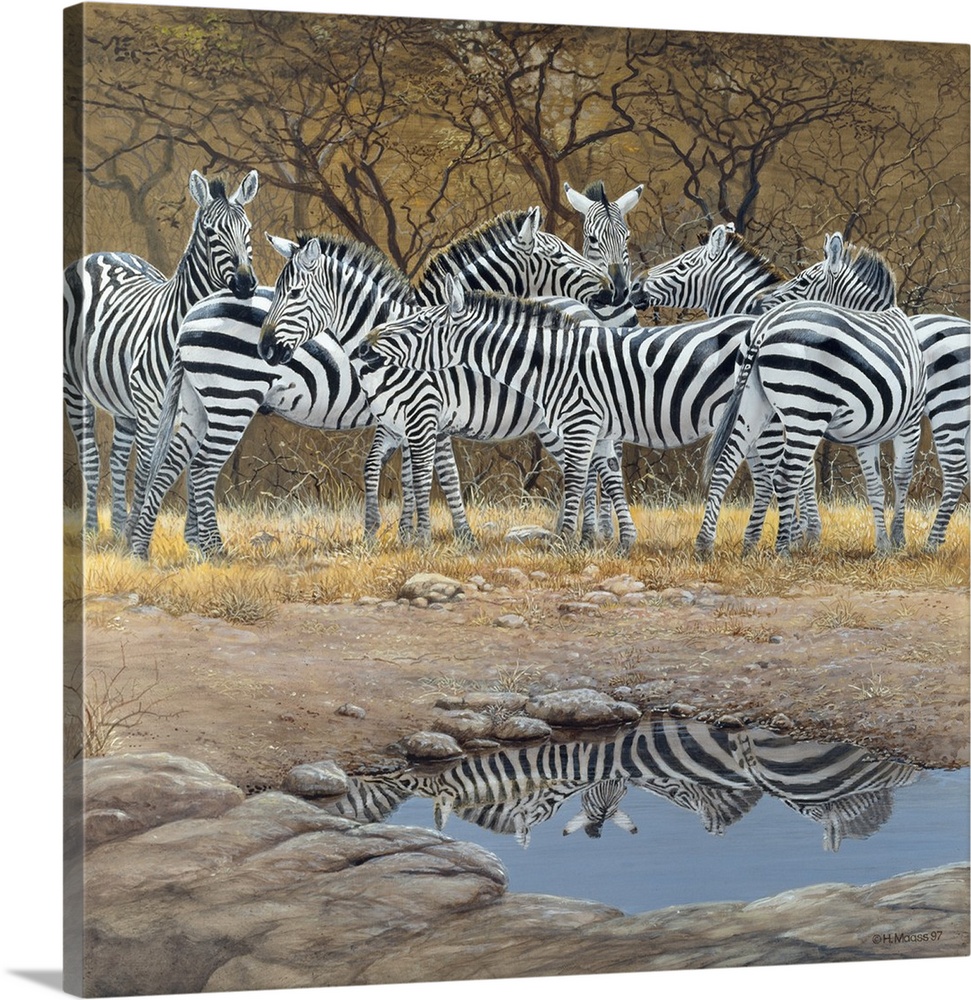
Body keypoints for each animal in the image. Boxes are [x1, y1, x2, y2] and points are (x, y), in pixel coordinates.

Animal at [63, 168, 259, 535]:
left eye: (249, 230)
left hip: (125, 403)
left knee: (118, 457)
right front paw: (138, 536)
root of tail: (100, 254)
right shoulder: (154, 409)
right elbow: (147, 470)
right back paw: (93, 529)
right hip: (75, 387)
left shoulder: (198, 407)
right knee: (92, 457)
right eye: (210, 232)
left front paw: (192, 536)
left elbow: (191, 468)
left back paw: (117, 527)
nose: (245, 283)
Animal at [127, 211, 613, 556]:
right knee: (200, 467)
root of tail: (192, 314)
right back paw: (208, 549)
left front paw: (411, 535)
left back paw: (151, 547)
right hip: (232, 397)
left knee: (174, 465)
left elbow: (413, 471)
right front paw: (434, 536)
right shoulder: (420, 413)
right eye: (560, 256)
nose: (612, 290)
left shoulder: (416, 417)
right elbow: (432, 473)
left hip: (199, 402)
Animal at [696, 297, 927, 557]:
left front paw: (884, 544)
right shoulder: (912, 421)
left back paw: (705, 544)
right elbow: (902, 476)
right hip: (808, 411)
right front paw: (898, 539)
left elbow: (875, 485)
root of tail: (763, 327)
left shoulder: (868, 435)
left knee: (725, 465)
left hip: (752, 405)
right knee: (786, 475)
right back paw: (783, 550)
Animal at [755, 232, 970, 551]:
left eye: (803, 282)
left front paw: (894, 539)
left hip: (949, 410)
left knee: (956, 473)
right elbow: (877, 481)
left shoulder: (905, 423)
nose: (760, 303)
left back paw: (932, 543)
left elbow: (895, 477)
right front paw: (886, 541)